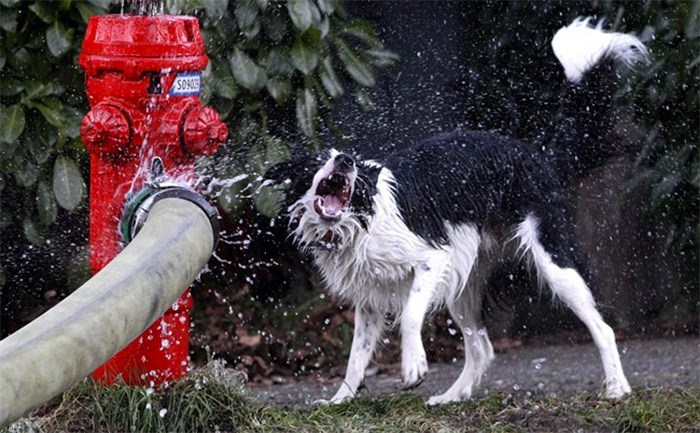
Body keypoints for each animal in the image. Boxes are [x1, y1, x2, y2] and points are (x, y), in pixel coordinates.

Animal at [266, 18, 648, 404]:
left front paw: (413, 367)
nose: (344, 161)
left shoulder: (432, 258)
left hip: (553, 263)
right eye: (318, 160)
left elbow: (409, 314)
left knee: (602, 328)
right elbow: (356, 358)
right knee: (482, 347)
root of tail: (537, 155)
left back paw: (617, 387)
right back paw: (452, 396)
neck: (360, 221)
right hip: (465, 283)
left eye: (353, 163)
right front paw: (339, 400)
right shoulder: (370, 299)